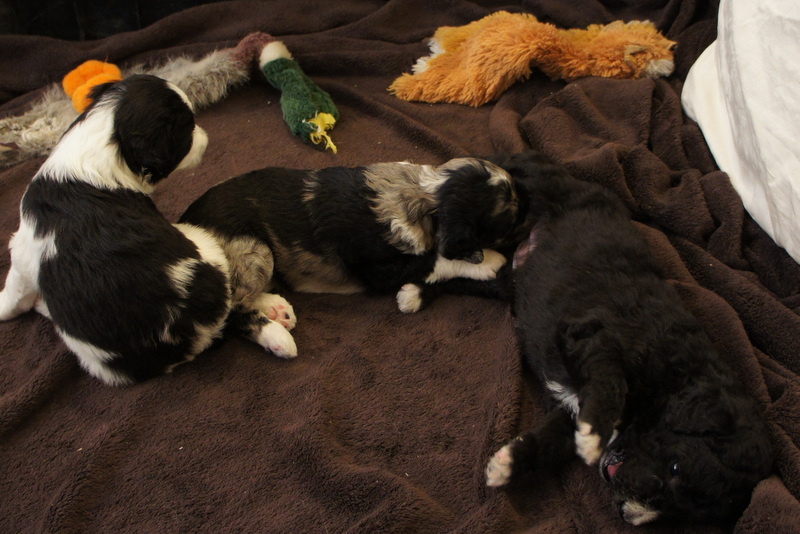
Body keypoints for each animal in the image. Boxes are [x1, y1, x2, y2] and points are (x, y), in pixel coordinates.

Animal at [0, 74, 299, 386]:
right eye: (188, 131)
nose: (205, 136)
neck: (104, 144)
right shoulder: (23, 252)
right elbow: (15, 294)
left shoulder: (23, 250)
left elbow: (15, 290)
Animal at [178, 157, 520, 351]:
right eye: (506, 220)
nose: (525, 222)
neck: (421, 195)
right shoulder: (378, 270)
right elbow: (438, 259)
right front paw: (490, 260)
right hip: (254, 249)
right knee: (232, 308)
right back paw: (278, 338)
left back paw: (277, 309)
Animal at [483, 151, 773, 525]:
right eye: (675, 468)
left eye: (680, 513)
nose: (629, 514)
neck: (676, 384)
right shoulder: (591, 334)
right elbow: (612, 382)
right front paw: (594, 436)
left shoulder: (575, 401)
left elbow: (551, 441)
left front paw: (507, 464)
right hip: (535, 187)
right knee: (515, 166)